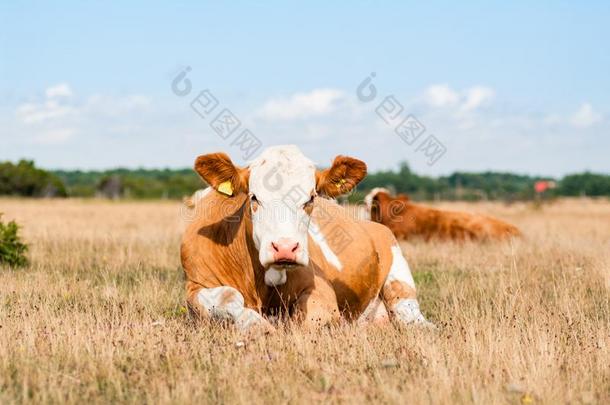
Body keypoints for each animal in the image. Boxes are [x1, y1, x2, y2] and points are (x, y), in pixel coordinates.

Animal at [180, 145, 432, 332]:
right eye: (254, 197)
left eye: (311, 198)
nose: (285, 248)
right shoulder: (195, 287)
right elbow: (227, 295)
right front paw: (253, 322)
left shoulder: (321, 294)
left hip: (400, 280)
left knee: (409, 315)